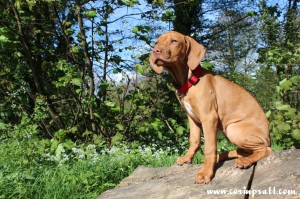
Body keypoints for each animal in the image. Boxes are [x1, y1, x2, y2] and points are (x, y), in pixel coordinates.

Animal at [150, 30, 272, 183]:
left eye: (174, 41)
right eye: (156, 42)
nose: (156, 51)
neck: (189, 82)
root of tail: (268, 137)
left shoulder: (208, 118)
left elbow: (209, 148)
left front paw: (205, 173)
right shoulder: (192, 118)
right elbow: (194, 140)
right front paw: (187, 158)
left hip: (233, 129)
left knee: (265, 149)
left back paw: (245, 161)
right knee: (244, 150)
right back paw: (224, 156)